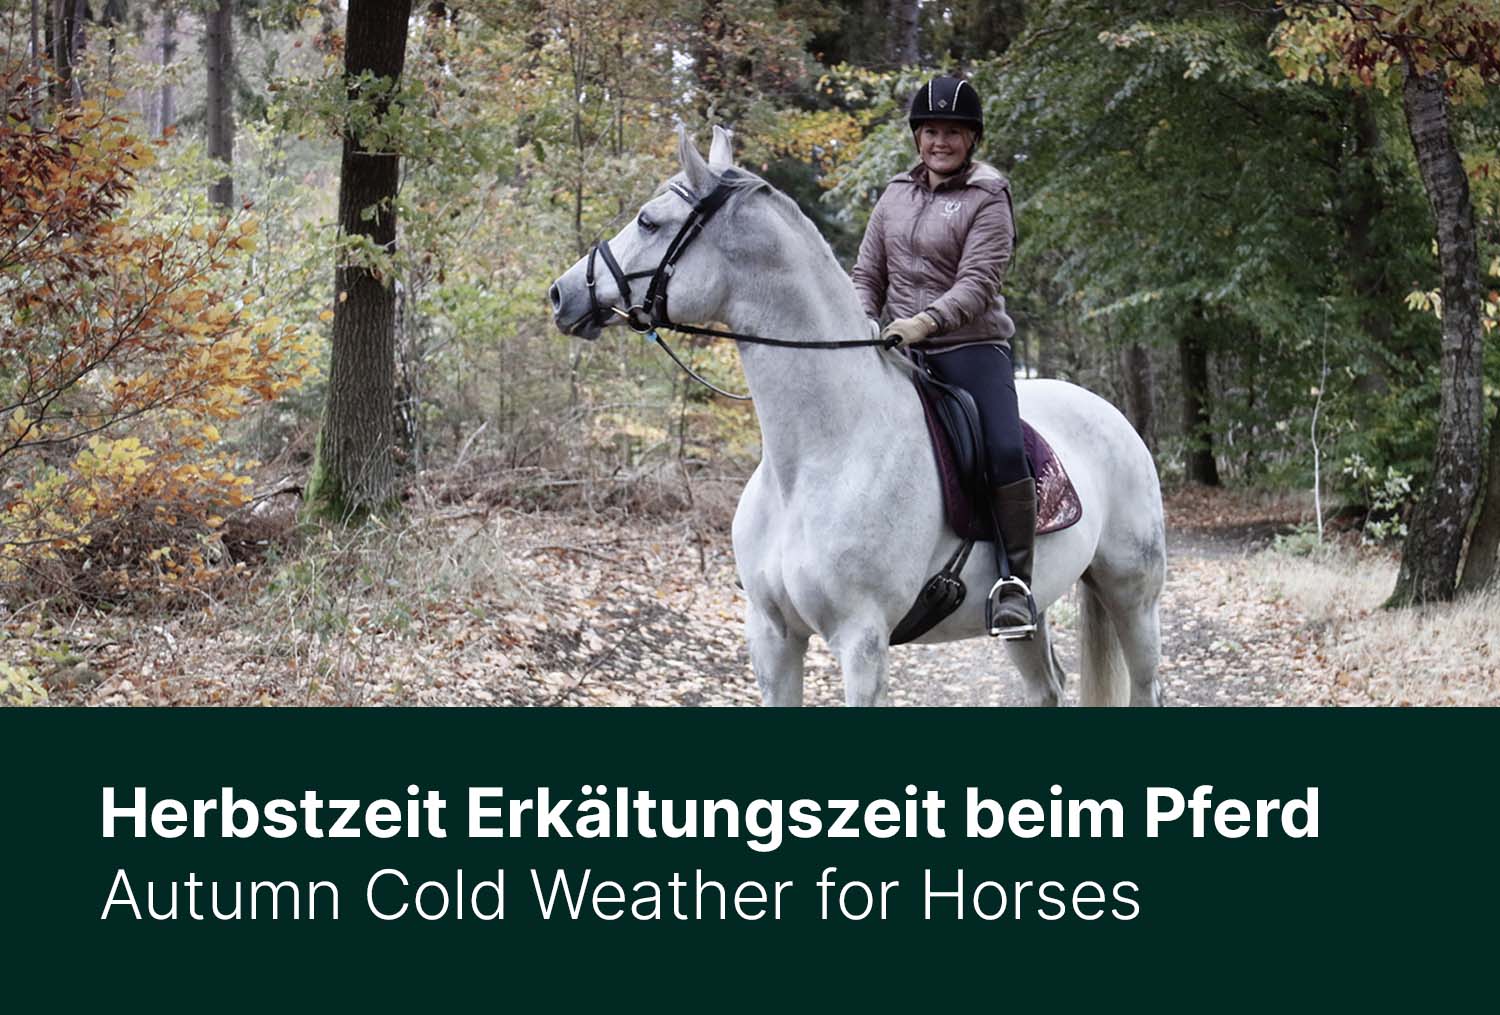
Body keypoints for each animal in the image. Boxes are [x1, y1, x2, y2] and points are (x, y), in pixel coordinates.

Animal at [549, 126, 1166, 706]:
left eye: (648, 221)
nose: (562, 294)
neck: (818, 456)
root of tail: (1110, 414)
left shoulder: (861, 643)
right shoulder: (771, 637)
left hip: (1134, 595)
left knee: (1145, 686)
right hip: (1030, 618)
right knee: (1048, 687)